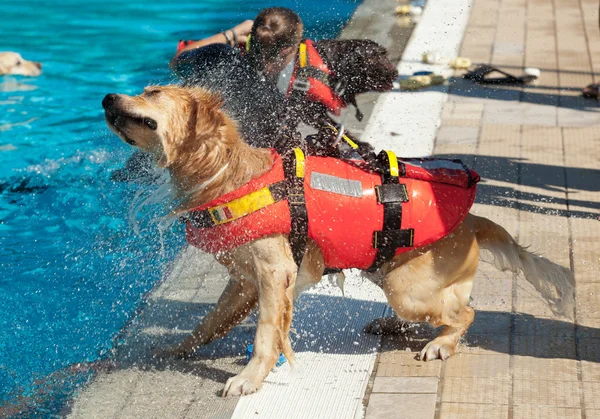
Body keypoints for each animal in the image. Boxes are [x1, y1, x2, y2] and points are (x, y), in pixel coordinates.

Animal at [103, 84, 576, 398]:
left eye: (152, 92)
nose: (107, 98)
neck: (225, 175)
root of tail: (472, 219)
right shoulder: (243, 280)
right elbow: (209, 323)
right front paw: (177, 349)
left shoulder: (276, 271)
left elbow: (265, 333)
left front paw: (248, 379)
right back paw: (394, 325)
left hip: (407, 286)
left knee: (466, 313)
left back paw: (439, 343)